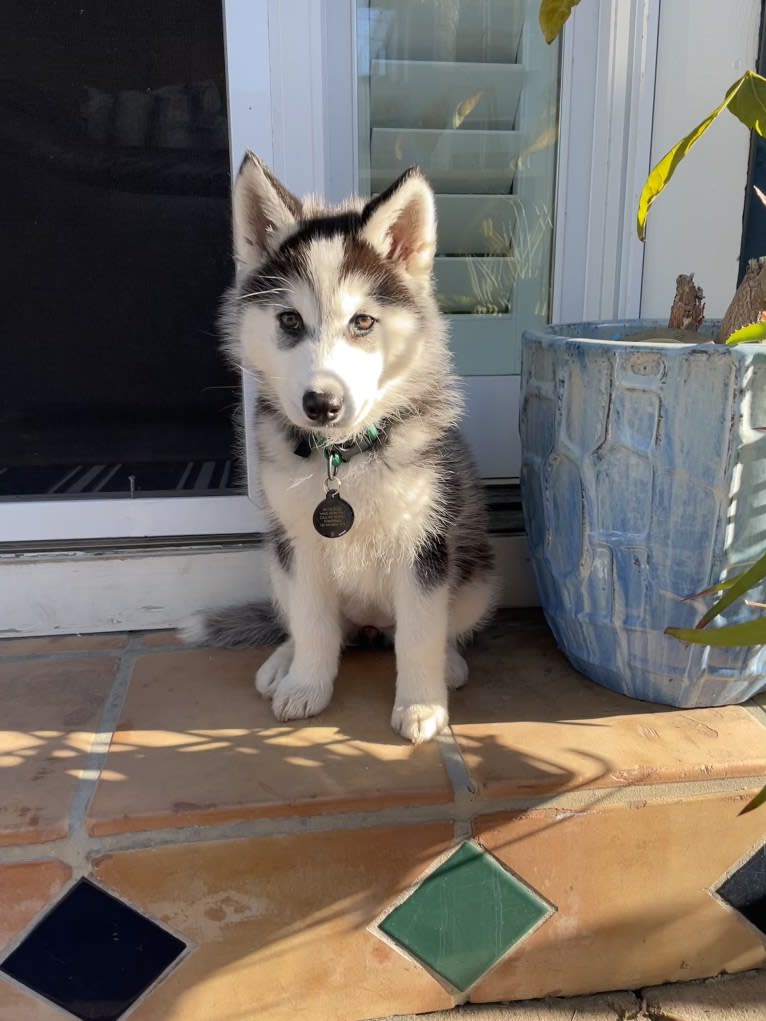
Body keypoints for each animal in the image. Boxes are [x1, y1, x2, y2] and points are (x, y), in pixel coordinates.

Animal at [184, 151, 498, 743]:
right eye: (289, 320)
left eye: (363, 322)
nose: (322, 404)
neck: (343, 457)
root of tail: (372, 624)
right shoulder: (300, 545)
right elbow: (313, 623)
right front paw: (306, 684)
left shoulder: (424, 545)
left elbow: (420, 633)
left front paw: (421, 704)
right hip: (276, 557)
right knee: (317, 625)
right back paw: (282, 663)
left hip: (478, 574)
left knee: (433, 628)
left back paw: (448, 662)